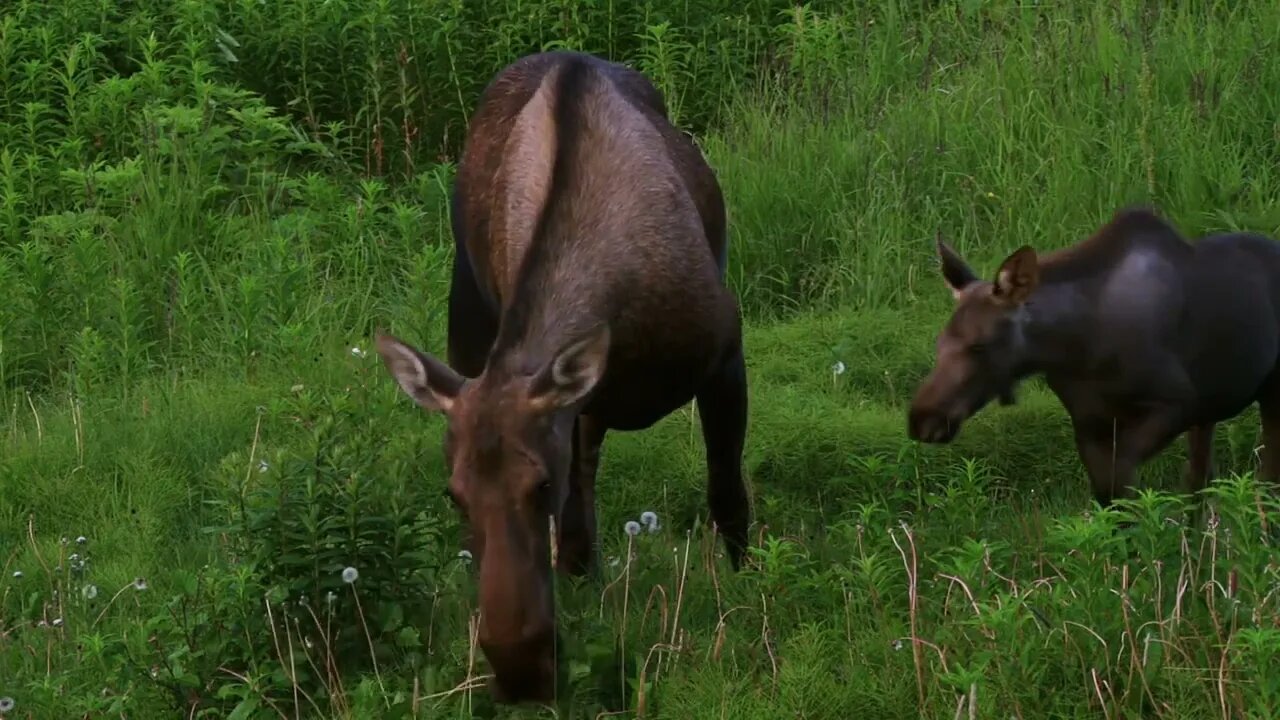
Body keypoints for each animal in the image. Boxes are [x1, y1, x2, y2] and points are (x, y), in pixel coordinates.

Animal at [373, 53, 747, 702]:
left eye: (541, 483)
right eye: (454, 496)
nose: (520, 671)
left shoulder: (724, 350)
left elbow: (729, 497)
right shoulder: (573, 409)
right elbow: (575, 530)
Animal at [906, 204, 1280, 509]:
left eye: (979, 346)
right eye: (939, 342)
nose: (922, 418)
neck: (1077, 346)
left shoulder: (1179, 403)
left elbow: (1122, 486)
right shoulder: (1088, 423)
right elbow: (1112, 500)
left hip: (1269, 392)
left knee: (1266, 477)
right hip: (1208, 416)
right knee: (1201, 483)